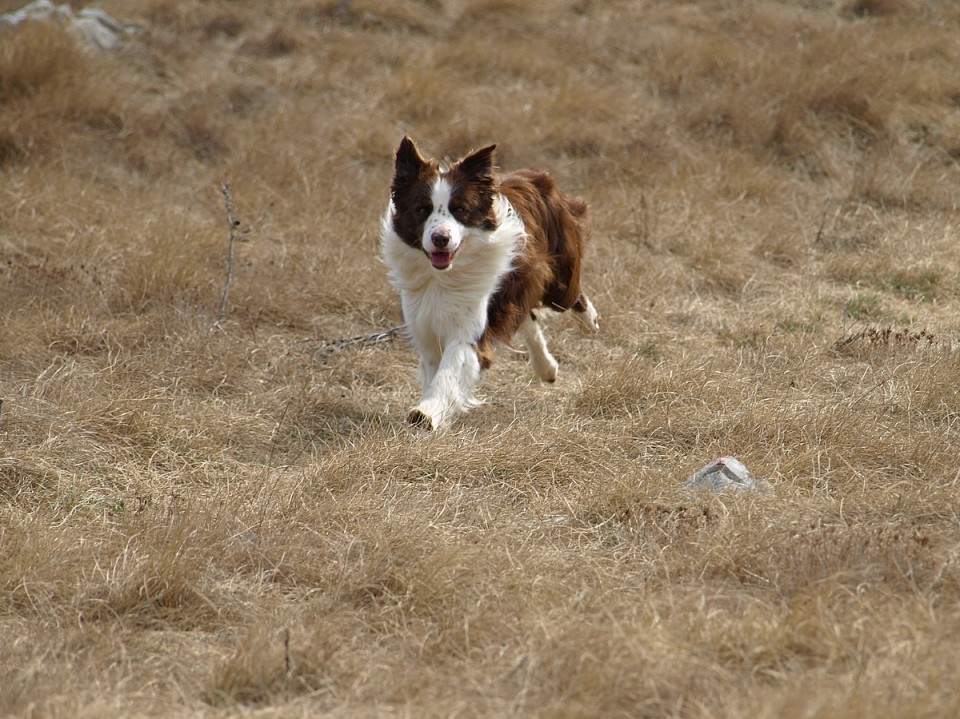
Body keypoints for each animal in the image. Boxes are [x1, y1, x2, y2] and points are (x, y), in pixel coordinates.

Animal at [378, 137, 596, 430]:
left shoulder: (470, 325)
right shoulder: (425, 323)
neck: (445, 275)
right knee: (527, 318)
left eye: (460, 210)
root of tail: (534, 175)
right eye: (422, 209)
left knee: (571, 296)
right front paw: (437, 412)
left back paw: (590, 321)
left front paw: (427, 413)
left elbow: (449, 372)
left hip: (558, 278)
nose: (440, 238)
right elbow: (435, 368)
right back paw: (547, 368)